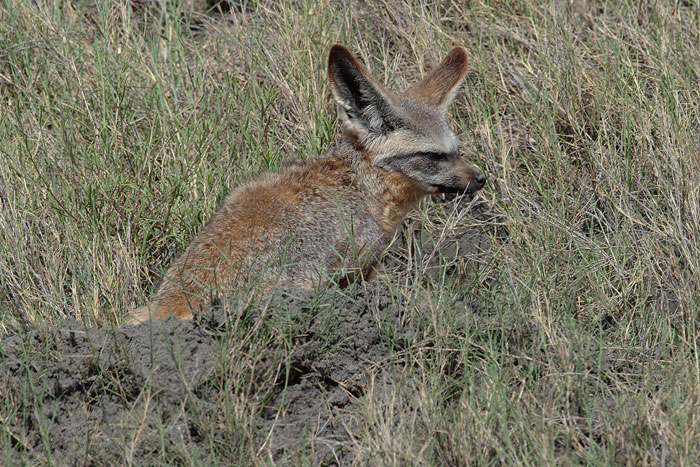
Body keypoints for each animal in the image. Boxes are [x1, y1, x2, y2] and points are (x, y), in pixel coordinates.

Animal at [127, 43, 486, 326]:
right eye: (433, 156)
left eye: (457, 150)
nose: (481, 179)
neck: (359, 184)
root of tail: (173, 300)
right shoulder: (354, 271)